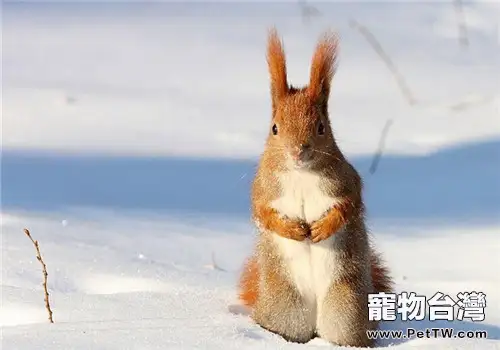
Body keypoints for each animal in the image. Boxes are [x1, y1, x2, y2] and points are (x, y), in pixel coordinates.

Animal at [236, 28, 392, 348]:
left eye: (321, 127)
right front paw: (294, 230)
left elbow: (349, 205)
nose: (298, 151)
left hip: (347, 307)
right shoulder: (263, 189)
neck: (301, 174)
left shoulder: (347, 181)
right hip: (286, 307)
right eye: (274, 128)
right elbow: (261, 213)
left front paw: (322, 229)